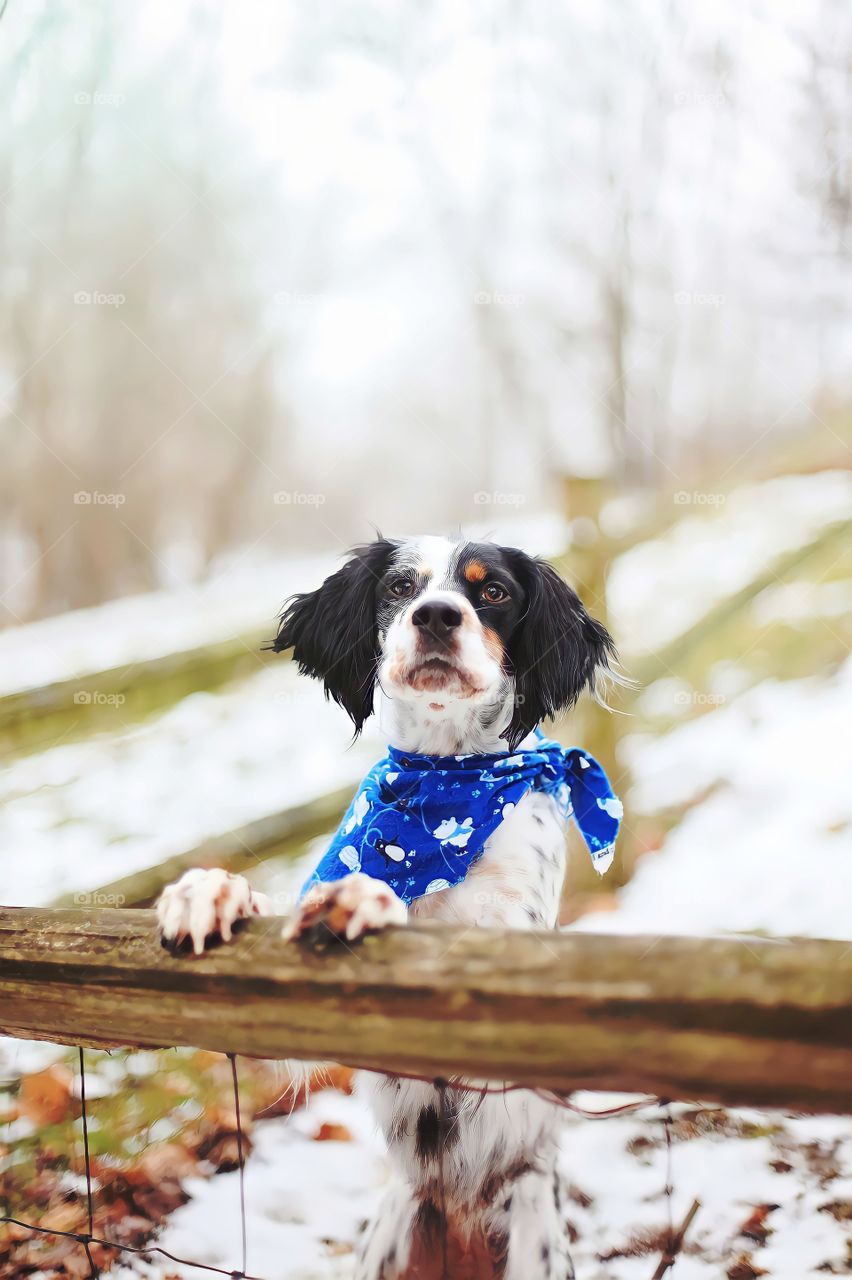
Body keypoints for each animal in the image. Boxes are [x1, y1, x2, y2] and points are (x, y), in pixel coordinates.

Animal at [154, 537, 616, 1280]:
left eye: (492, 592)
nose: (435, 615)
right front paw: (210, 891)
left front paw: (369, 897)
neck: (446, 786)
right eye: (401, 587)